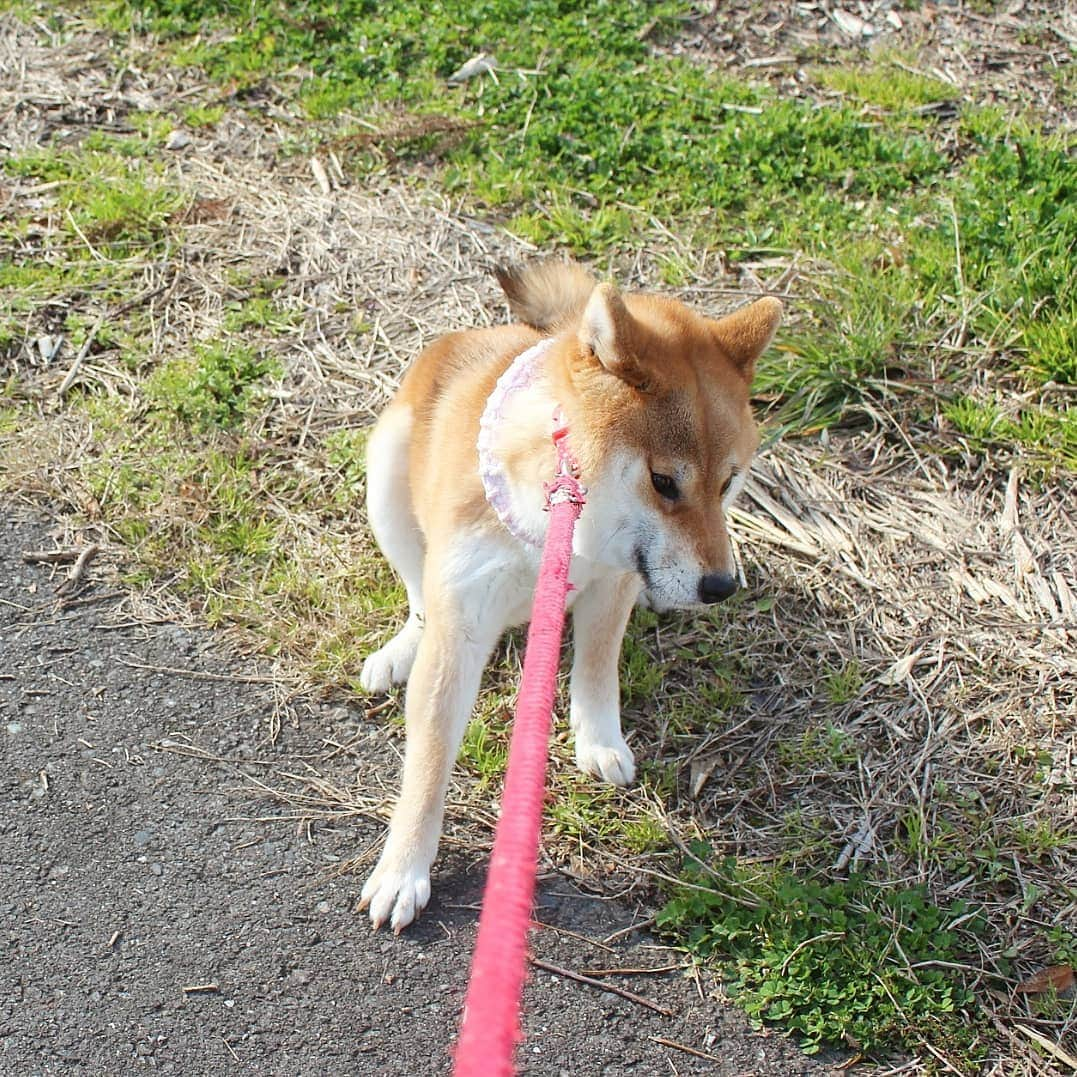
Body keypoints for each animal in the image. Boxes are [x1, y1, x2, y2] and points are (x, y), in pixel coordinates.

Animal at [357, 256, 779, 930]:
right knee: (418, 597)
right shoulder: (461, 626)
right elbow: (427, 762)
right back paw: (398, 652)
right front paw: (404, 869)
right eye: (664, 482)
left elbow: (596, 672)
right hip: (388, 476)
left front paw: (598, 740)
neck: (565, 515)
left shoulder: (615, 581)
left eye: (729, 483)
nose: (720, 587)